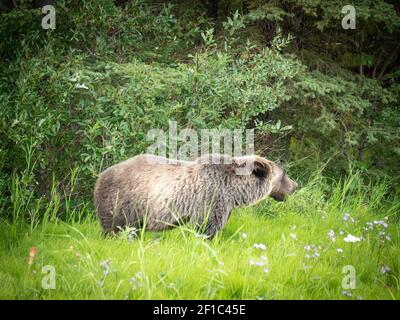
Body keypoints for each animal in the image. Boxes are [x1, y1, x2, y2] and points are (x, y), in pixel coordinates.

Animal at [93, 154, 296, 239]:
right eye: (284, 174)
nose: (295, 186)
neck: (234, 191)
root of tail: (100, 176)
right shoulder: (211, 197)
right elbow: (207, 228)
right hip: (123, 200)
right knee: (117, 227)